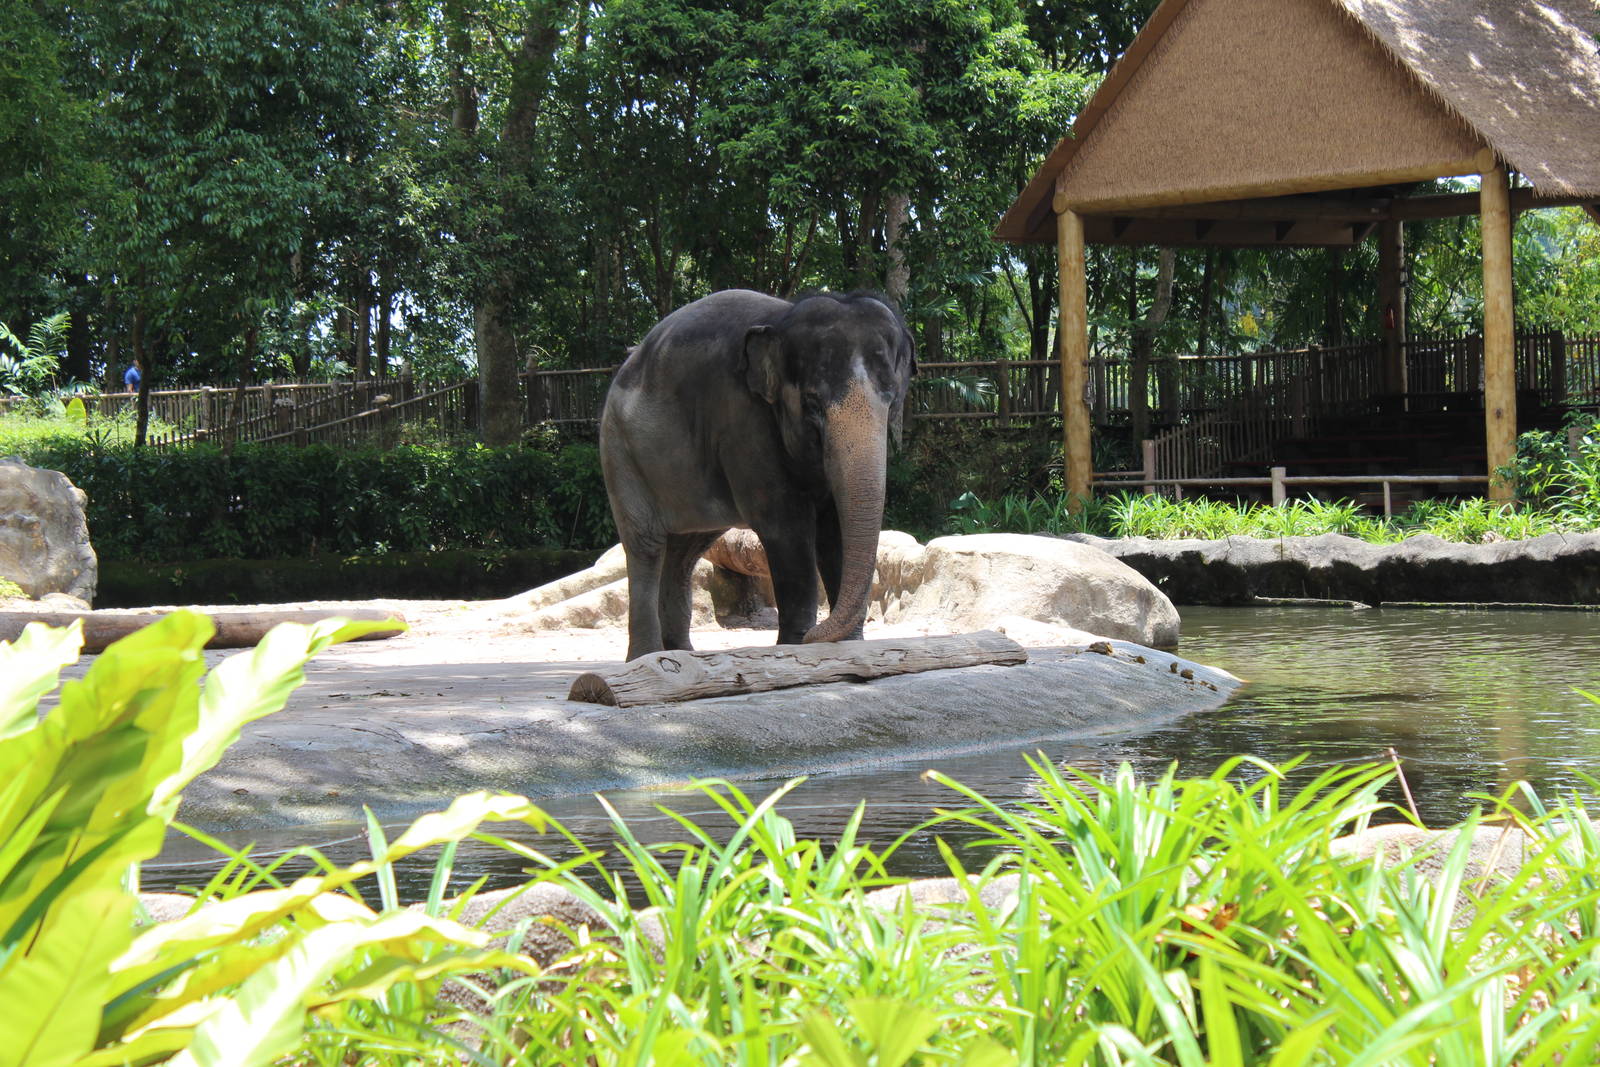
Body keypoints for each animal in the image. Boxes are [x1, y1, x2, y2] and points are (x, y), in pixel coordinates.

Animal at [599, 289, 916, 661]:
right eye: (812, 404)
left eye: (892, 401)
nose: (817, 634)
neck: (782, 322)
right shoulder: (742, 420)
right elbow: (785, 526)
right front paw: (796, 645)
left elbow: (836, 527)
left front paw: (848, 645)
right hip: (619, 451)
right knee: (646, 546)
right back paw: (646, 658)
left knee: (684, 551)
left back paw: (680, 653)